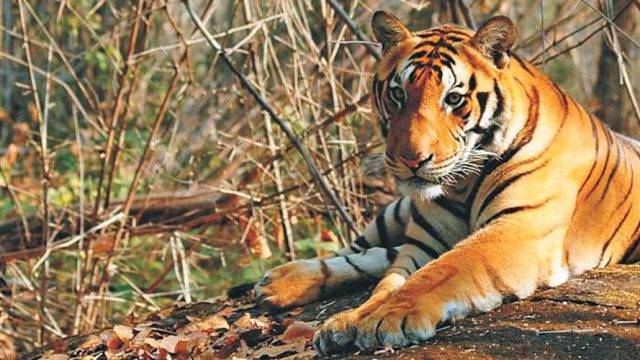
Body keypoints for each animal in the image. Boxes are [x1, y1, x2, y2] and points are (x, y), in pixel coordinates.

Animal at [252, 11, 640, 354]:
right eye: (398, 95)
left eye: (453, 98)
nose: (411, 159)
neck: (461, 183)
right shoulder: (424, 241)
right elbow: (389, 281)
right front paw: (350, 320)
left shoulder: (520, 228)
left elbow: (444, 269)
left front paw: (385, 318)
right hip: (395, 212)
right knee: (363, 250)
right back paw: (280, 282)